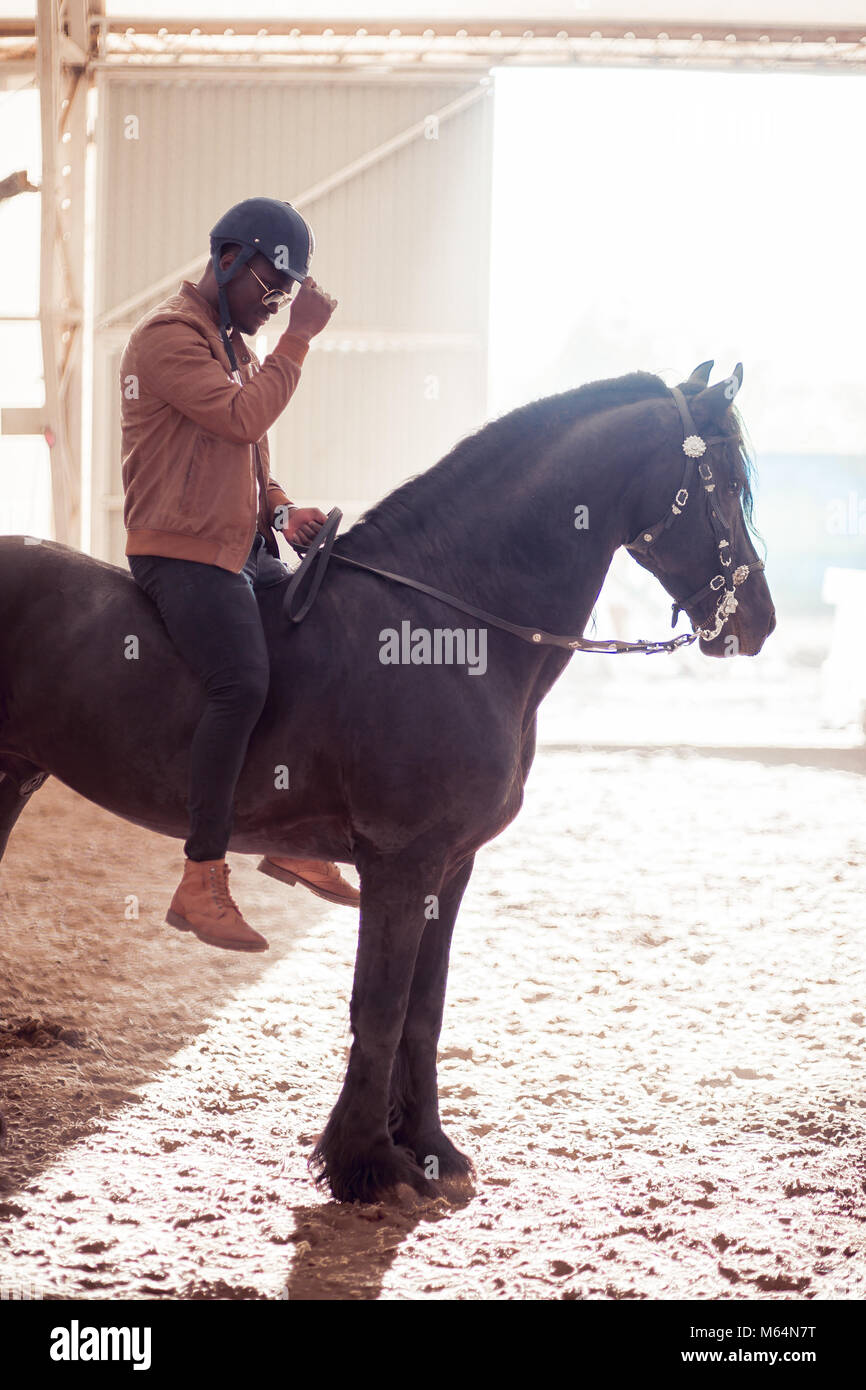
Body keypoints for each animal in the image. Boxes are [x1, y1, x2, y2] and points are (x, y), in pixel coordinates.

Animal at [0, 360, 775, 1203]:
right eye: (729, 482)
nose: (759, 621)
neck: (450, 624)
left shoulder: (450, 866)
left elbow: (422, 1010)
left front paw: (429, 1147)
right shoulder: (402, 863)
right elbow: (379, 1005)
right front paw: (367, 1162)